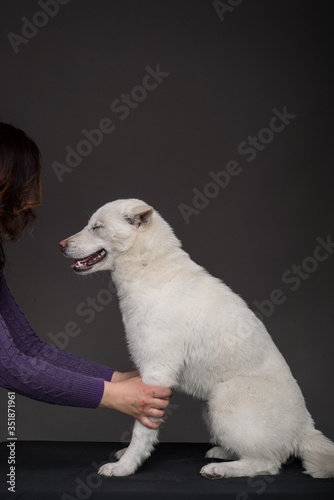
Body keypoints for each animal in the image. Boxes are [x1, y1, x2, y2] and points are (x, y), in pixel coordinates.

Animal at [60, 197, 334, 478]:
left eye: (97, 227)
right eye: (90, 225)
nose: (61, 245)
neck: (151, 272)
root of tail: (304, 427)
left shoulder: (157, 373)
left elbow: (141, 432)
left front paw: (125, 466)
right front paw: (126, 457)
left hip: (223, 398)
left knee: (268, 463)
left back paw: (219, 469)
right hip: (210, 404)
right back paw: (223, 453)